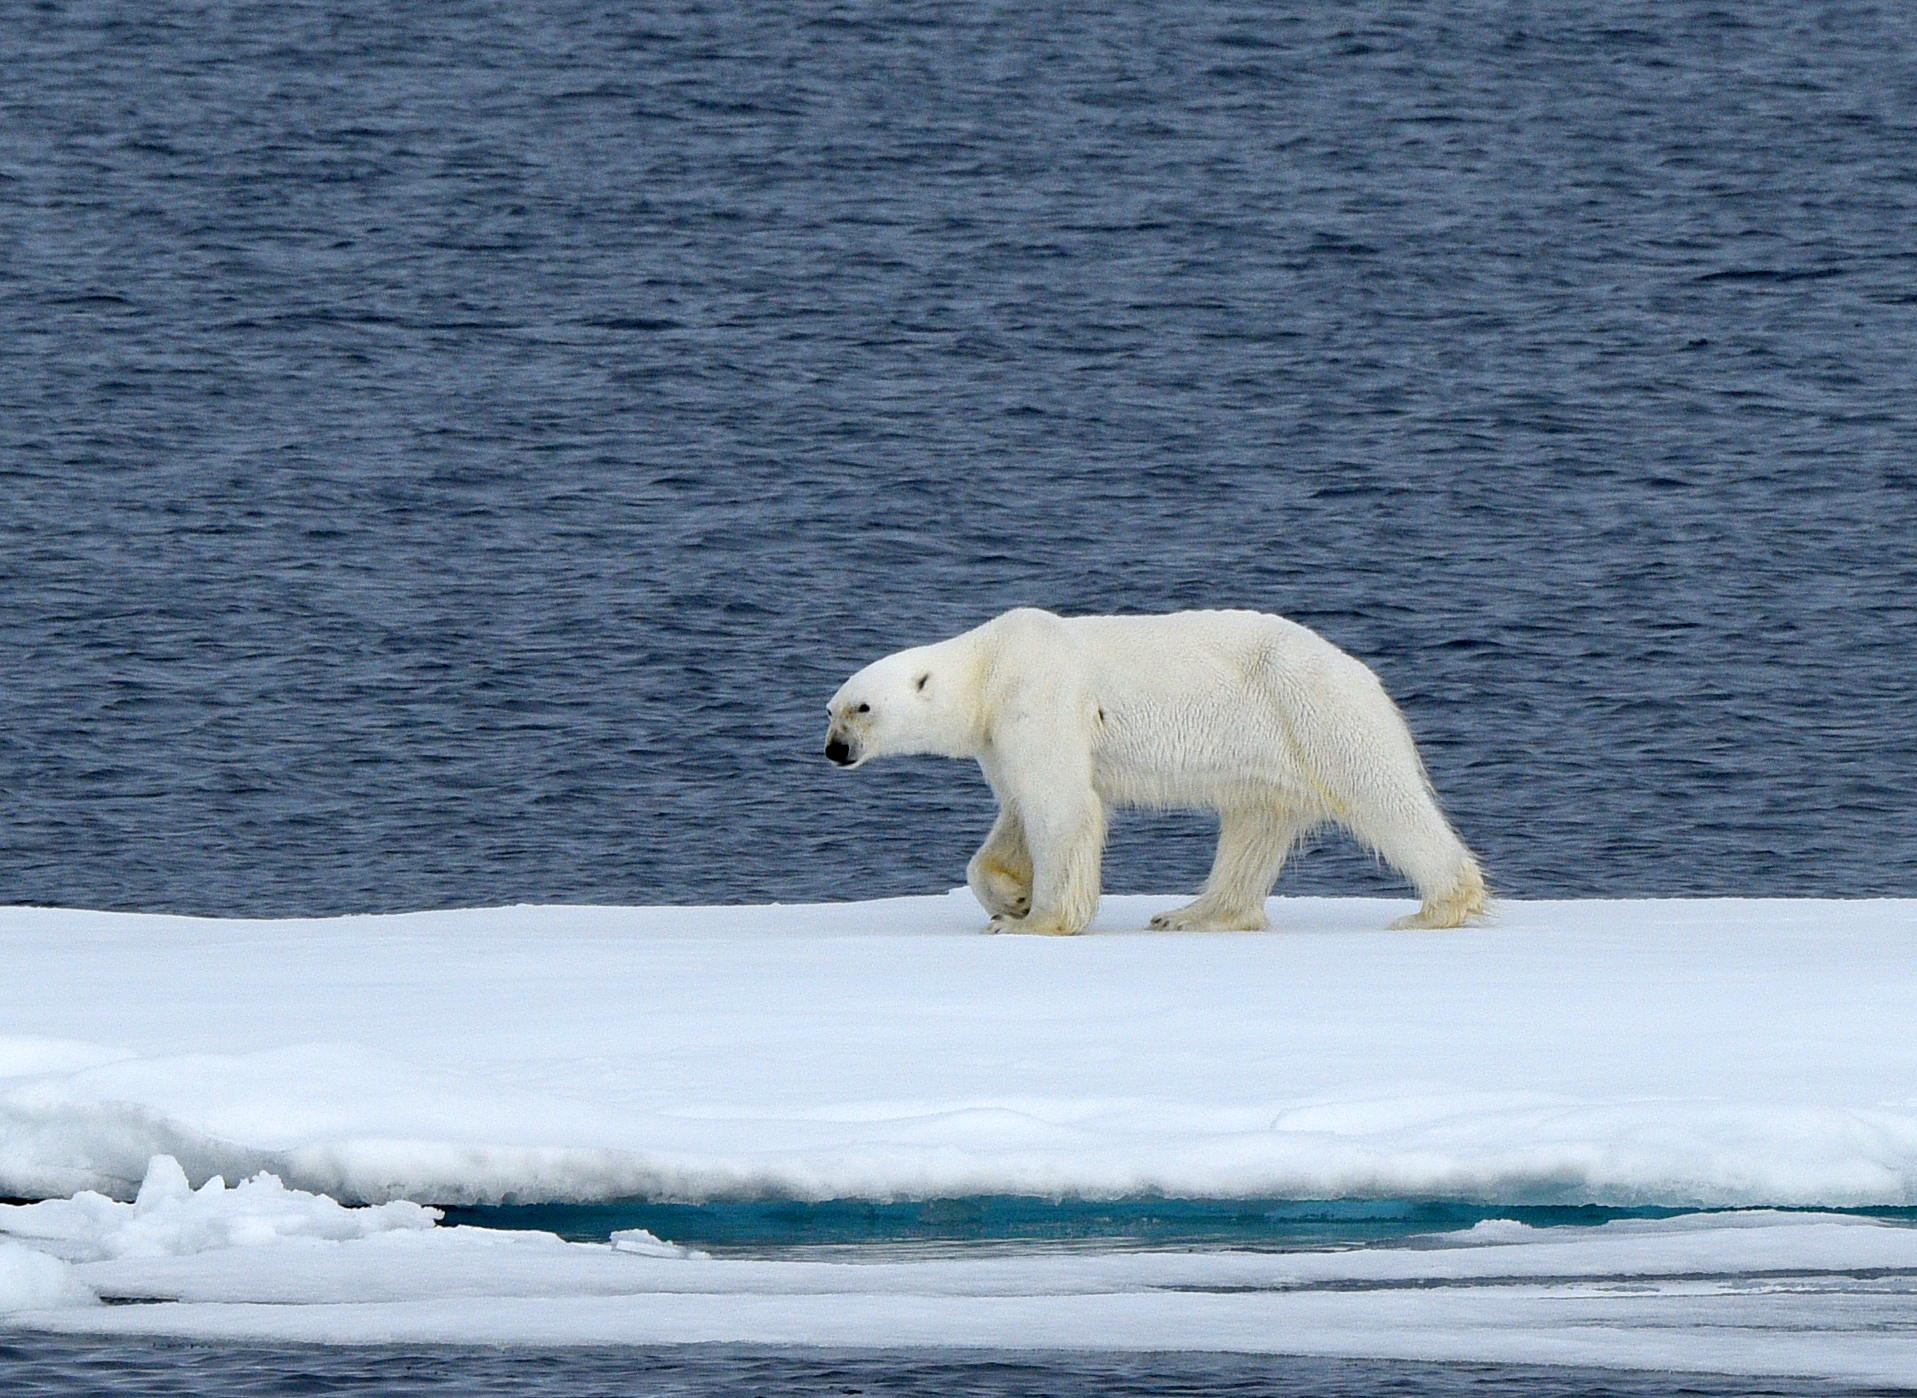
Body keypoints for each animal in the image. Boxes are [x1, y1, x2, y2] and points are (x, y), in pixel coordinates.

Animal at [820, 605, 1479, 932]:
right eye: (830, 710)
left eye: (862, 708)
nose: (834, 751)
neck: (990, 662)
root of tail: (1364, 674)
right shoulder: (998, 735)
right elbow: (1015, 813)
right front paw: (1010, 896)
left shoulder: (1038, 697)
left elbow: (1061, 806)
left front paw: (1035, 921)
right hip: (1271, 749)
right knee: (1254, 824)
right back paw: (1192, 914)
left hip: (1313, 710)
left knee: (1383, 798)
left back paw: (1438, 908)